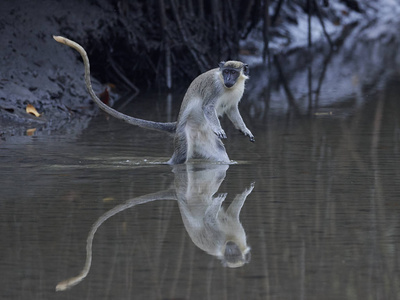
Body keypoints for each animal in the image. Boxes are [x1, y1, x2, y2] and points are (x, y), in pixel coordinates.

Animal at [53, 37, 255, 165]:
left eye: (233, 73)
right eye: (226, 72)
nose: (228, 79)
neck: (228, 87)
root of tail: (177, 125)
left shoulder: (236, 93)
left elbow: (232, 110)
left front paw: (245, 130)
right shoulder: (215, 87)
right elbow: (208, 107)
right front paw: (219, 128)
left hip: (204, 140)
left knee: (221, 157)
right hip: (183, 136)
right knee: (179, 159)